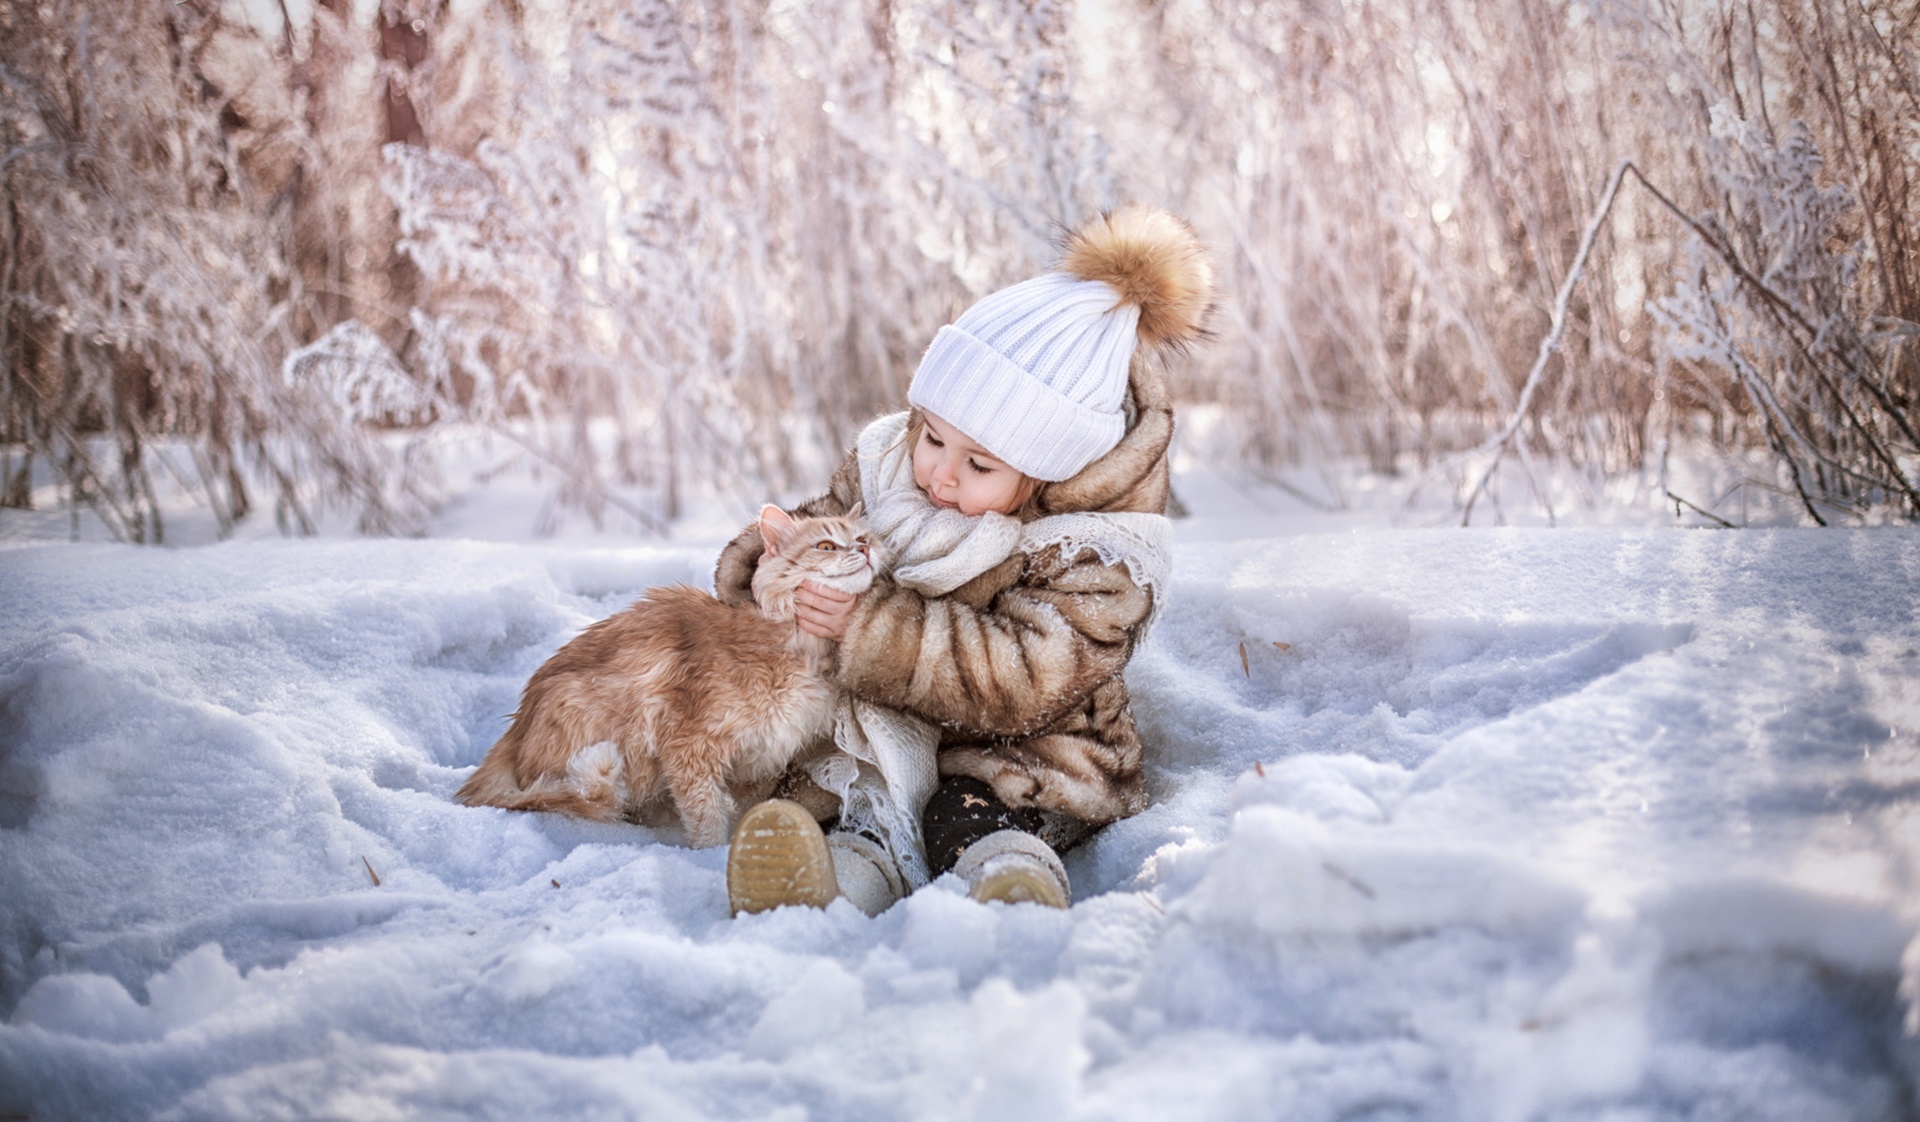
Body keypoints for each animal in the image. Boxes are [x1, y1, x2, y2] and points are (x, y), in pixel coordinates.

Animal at [460, 503, 879, 845]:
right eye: (826, 546)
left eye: (862, 538)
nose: (864, 550)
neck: (799, 646)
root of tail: (514, 730)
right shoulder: (689, 747)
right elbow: (706, 815)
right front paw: (710, 857)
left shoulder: (760, 760)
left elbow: (746, 812)